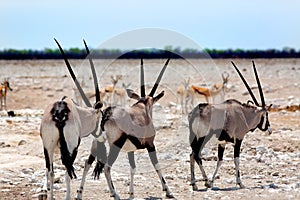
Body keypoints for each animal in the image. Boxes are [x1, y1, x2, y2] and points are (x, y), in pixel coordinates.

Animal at [39, 39, 102, 200]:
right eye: (100, 118)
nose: (100, 134)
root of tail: (60, 112)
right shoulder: (74, 147)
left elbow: (50, 170)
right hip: (71, 147)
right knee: (67, 171)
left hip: (48, 146)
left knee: (51, 171)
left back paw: (51, 197)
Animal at [190, 61, 272, 191]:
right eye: (266, 114)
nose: (269, 129)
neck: (243, 114)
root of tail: (197, 111)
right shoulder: (238, 139)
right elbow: (236, 159)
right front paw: (240, 183)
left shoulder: (222, 142)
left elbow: (220, 160)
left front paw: (212, 182)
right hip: (203, 138)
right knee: (197, 155)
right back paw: (205, 181)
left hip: (196, 138)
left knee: (192, 155)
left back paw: (194, 184)